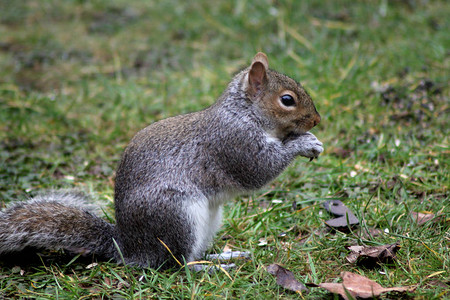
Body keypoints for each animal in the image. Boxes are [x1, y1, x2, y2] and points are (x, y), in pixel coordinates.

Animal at [0, 53, 324, 270]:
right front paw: (304, 143)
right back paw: (209, 268)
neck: (243, 113)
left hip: (207, 220)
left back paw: (222, 255)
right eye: (287, 100)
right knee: (176, 264)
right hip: (175, 216)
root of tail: (129, 249)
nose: (317, 120)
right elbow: (259, 170)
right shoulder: (234, 143)